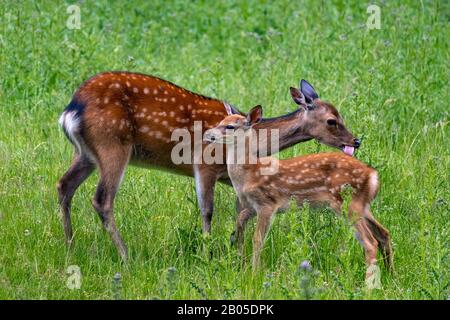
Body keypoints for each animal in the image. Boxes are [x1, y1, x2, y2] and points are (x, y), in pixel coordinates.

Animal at [57, 70, 358, 260]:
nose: (356, 140)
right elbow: (208, 211)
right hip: (113, 145)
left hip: (86, 153)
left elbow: (240, 213)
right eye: (332, 120)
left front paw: (236, 254)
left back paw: (70, 248)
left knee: (64, 185)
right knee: (102, 199)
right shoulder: (205, 164)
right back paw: (126, 257)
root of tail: (71, 110)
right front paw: (208, 253)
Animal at [206, 107, 392, 280]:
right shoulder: (252, 206)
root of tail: (373, 175)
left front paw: (254, 274)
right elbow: (240, 220)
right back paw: (391, 274)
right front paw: (241, 260)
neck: (248, 174)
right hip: (362, 205)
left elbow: (258, 239)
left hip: (347, 204)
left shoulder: (267, 203)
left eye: (230, 126)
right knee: (383, 233)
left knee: (370, 242)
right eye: (221, 120)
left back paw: (369, 285)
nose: (208, 133)